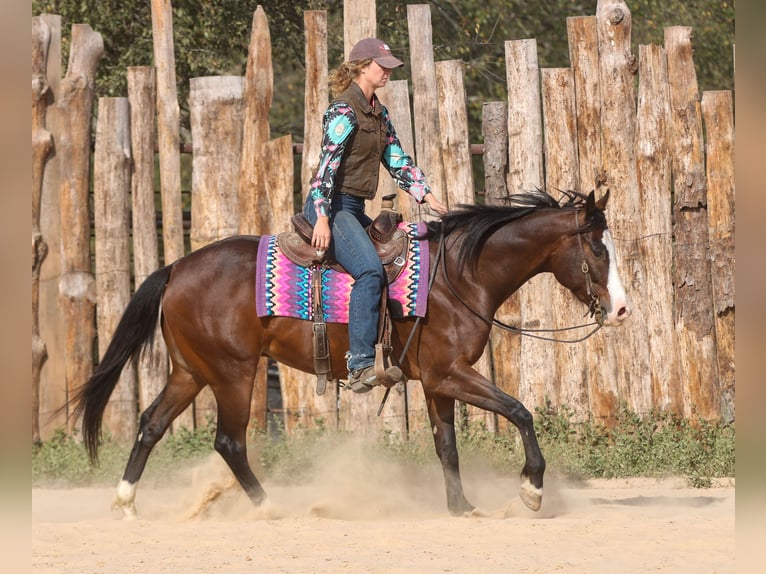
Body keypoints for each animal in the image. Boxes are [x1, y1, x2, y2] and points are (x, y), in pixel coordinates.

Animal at [71, 188, 631, 519]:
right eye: (597, 248)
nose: (621, 308)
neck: (457, 275)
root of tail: (177, 268)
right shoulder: (450, 374)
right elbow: (520, 411)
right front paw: (532, 489)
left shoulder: (437, 382)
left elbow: (446, 446)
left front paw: (461, 505)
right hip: (233, 372)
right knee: (229, 441)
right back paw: (269, 507)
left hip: (191, 370)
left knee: (151, 424)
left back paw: (125, 502)